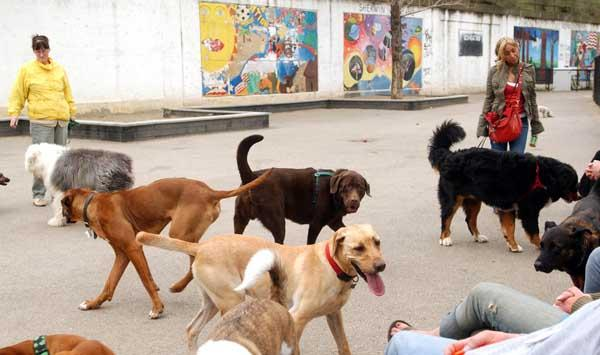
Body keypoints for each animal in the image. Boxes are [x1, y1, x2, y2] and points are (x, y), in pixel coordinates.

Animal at [59, 171, 270, 318]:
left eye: (62, 205)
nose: (61, 217)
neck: (92, 203)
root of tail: (210, 192)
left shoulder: (133, 247)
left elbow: (145, 280)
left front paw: (157, 308)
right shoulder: (122, 254)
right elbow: (110, 283)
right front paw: (94, 303)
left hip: (178, 233)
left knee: (194, 256)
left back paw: (178, 286)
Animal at [138, 224, 386, 354]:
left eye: (377, 242)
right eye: (358, 248)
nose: (381, 266)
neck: (332, 264)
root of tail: (201, 245)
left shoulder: (334, 315)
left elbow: (343, 345)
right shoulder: (296, 318)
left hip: (211, 304)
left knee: (191, 330)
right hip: (232, 301)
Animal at [234, 135, 370, 246]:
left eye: (360, 188)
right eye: (346, 187)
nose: (354, 201)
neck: (332, 194)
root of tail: (252, 176)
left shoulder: (335, 222)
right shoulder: (315, 224)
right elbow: (310, 243)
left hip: (240, 219)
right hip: (277, 221)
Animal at [428, 122, 580, 253]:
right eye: (573, 184)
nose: (579, 196)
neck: (543, 176)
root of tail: (450, 155)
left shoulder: (508, 207)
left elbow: (509, 228)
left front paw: (513, 246)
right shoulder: (528, 210)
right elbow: (534, 232)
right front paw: (541, 245)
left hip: (474, 201)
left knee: (470, 220)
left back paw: (478, 237)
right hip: (452, 199)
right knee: (446, 218)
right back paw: (445, 238)